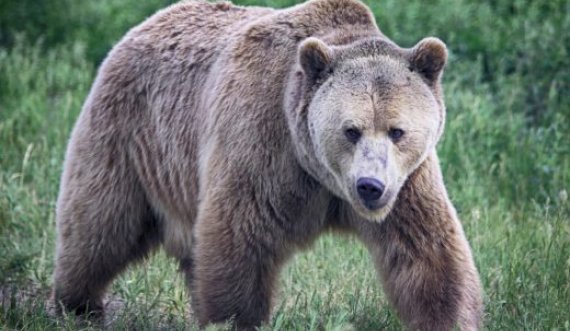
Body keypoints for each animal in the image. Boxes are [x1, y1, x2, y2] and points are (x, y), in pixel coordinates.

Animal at [52, 0, 480, 330]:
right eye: (351, 130)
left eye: (397, 131)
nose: (369, 186)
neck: (321, 174)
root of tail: (148, 22)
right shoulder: (263, 144)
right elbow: (239, 239)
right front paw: (233, 318)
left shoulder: (407, 183)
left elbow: (427, 252)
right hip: (131, 135)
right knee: (100, 222)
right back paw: (78, 304)